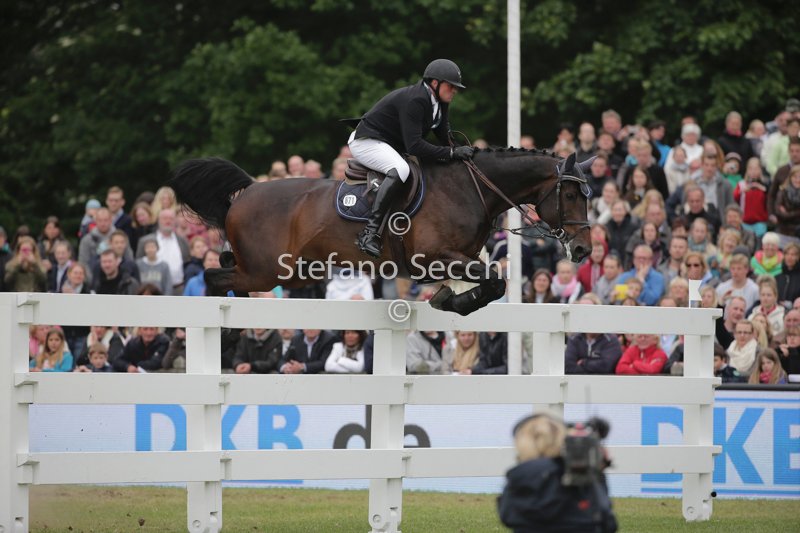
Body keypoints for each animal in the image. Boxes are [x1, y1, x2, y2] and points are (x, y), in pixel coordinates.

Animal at [169, 149, 593, 315]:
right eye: (571, 194)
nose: (584, 251)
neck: (470, 189)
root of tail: (247, 191)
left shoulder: (461, 259)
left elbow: (494, 281)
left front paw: (449, 300)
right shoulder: (433, 259)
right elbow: (491, 279)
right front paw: (451, 301)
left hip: (278, 270)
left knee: (225, 266)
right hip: (267, 270)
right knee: (214, 275)